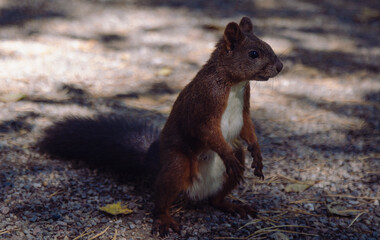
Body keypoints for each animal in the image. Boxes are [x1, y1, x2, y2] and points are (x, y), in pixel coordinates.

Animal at [37, 16, 282, 236]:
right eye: (253, 54)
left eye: (269, 45)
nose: (280, 67)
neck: (233, 84)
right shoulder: (204, 104)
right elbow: (207, 131)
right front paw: (229, 155)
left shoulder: (244, 108)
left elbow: (248, 127)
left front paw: (258, 154)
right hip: (177, 165)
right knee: (163, 198)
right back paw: (164, 220)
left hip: (232, 159)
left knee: (216, 199)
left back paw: (233, 205)